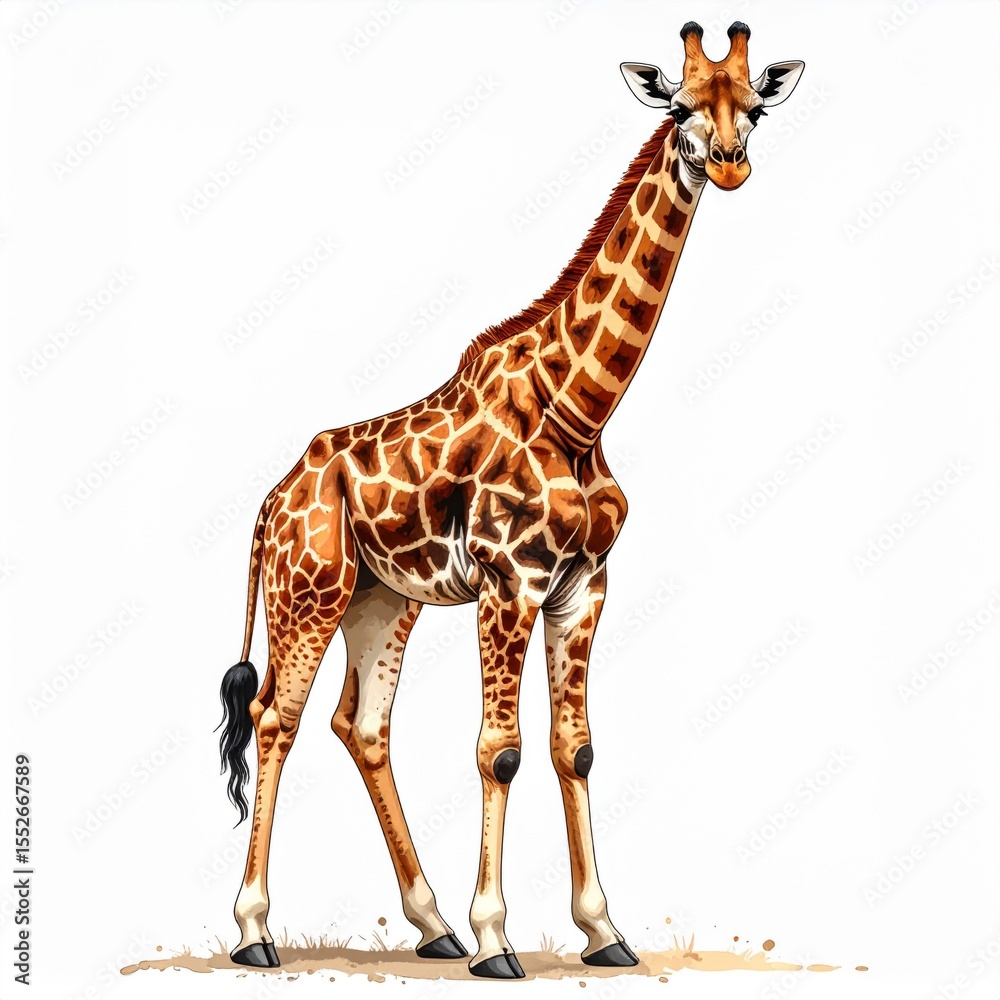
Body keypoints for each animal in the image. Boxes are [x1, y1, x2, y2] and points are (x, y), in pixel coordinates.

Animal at [216, 21, 803, 979]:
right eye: (679, 104)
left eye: (753, 108)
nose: (728, 164)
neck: (582, 407)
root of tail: (270, 503)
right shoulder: (510, 582)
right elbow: (500, 752)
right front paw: (497, 940)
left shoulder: (582, 586)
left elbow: (576, 749)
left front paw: (604, 932)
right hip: (307, 593)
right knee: (276, 717)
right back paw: (256, 930)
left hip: (383, 600)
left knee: (361, 725)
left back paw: (430, 925)